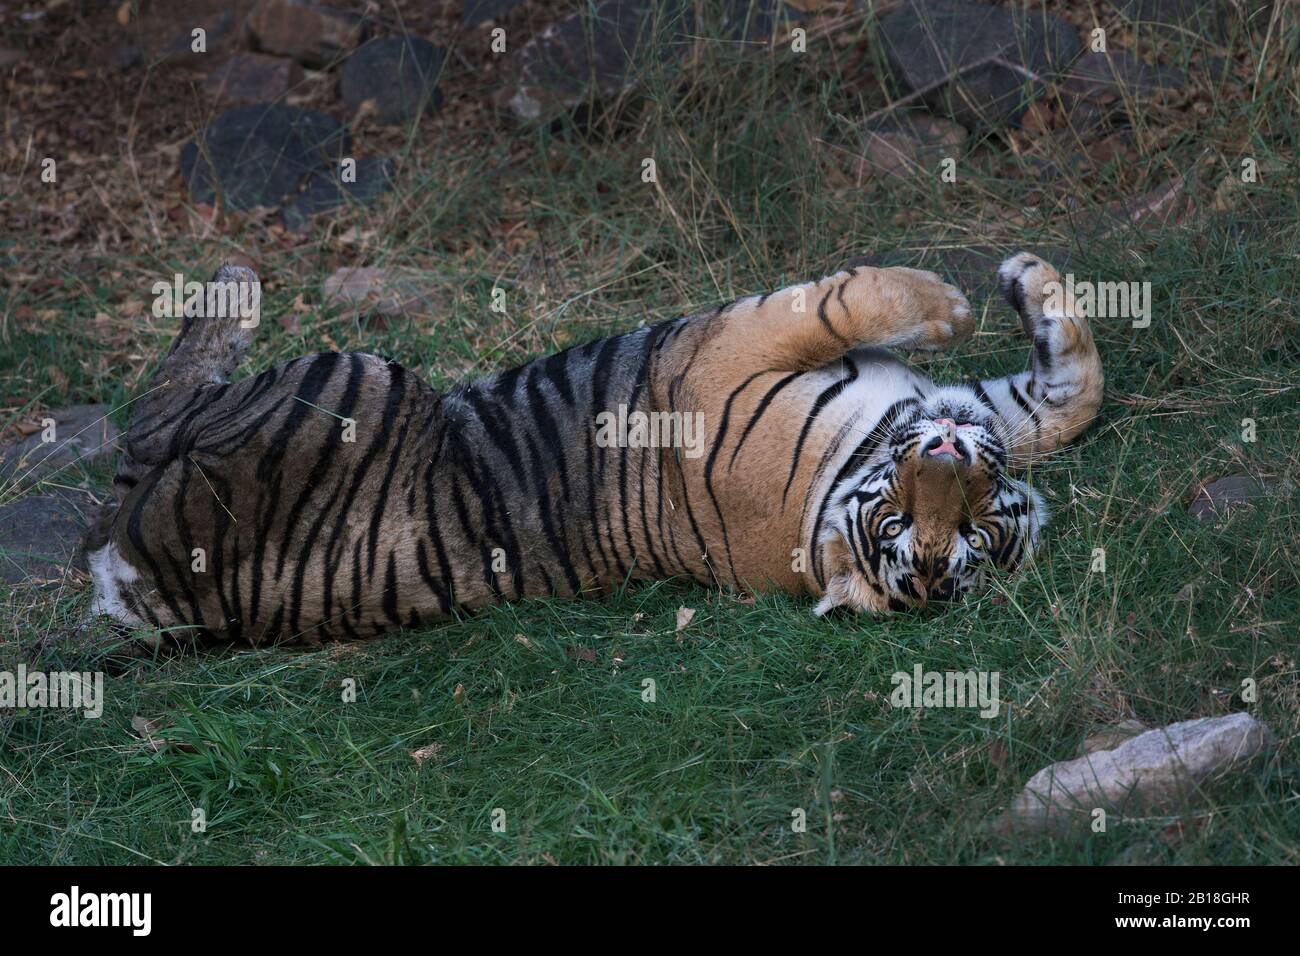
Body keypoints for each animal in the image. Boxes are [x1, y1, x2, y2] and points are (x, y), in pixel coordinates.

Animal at [83, 251, 1097, 647]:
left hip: (343, 379)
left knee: (147, 424)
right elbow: (1060, 396)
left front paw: (980, 299)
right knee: (142, 423)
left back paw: (232, 288)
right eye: (900, 518)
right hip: (351, 376)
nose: (948, 453)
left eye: (960, 539)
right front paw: (1009, 291)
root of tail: (144, 596)